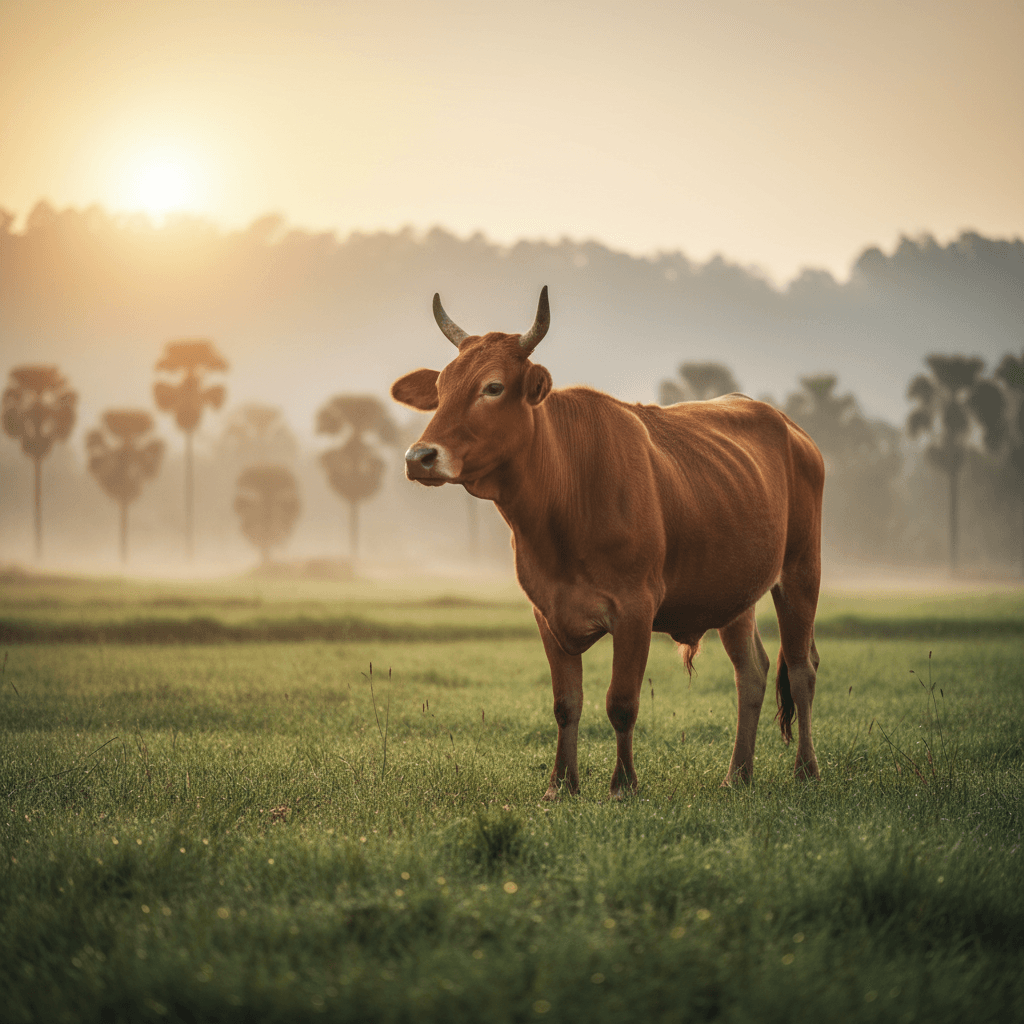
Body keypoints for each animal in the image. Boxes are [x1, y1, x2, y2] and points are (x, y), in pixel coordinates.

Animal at [391, 287, 825, 799]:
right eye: (440, 390)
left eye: (492, 388)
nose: (420, 457)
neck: (562, 506)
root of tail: (790, 427)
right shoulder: (546, 612)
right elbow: (566, 704)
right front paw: (562, 785)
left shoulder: (636, 608)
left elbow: (621, 702)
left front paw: (623, 785)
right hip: (734, 595)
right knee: (752, 674)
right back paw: (737, 775)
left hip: (801, 572)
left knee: (801, 670)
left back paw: (807, 770)